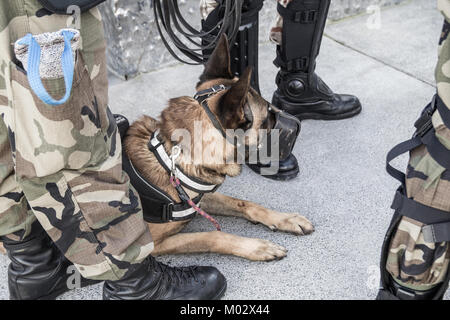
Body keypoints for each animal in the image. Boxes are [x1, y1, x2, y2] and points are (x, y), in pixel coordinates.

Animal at [123, 34, 312, 262]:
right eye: (268, 118)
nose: (299, 125)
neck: (172, 160)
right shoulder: (152, 245)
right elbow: (212, 236)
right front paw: (257, 246)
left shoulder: (200, 198)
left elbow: (244, 203)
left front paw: (285, 218)